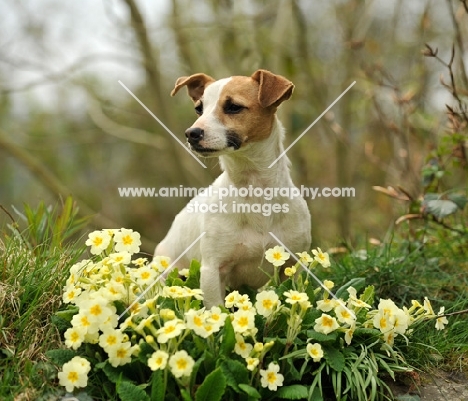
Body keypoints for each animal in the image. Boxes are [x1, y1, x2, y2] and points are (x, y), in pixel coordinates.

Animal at [155, 69, 312, 306]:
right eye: (199, 109)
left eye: (233, 107)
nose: (191, 133)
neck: (254, 190)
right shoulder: (212, 271)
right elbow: (216, 310)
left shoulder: (293, 266)